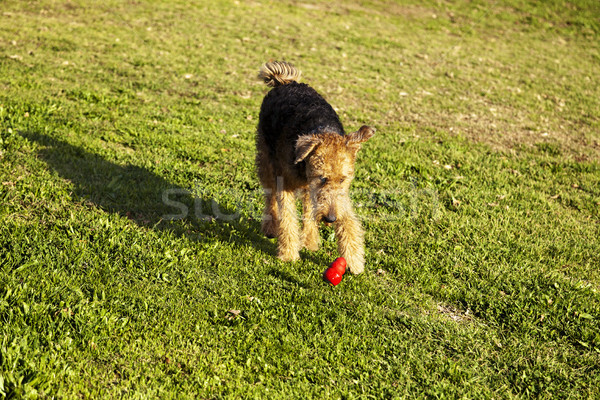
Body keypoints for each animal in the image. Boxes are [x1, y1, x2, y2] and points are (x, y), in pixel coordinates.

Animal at [254, 61, 376, 274]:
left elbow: (348, 221)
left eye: (343, 179)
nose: (331, 218)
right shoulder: (286, 183)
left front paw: (354, 258)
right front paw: (288, 254)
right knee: (270, 196)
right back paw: (270, 228)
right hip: (266, 159)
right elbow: (288, 218)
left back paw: (310, 240)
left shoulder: (337, 193)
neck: (321, 128)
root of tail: (286, 82)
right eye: (323, 178)